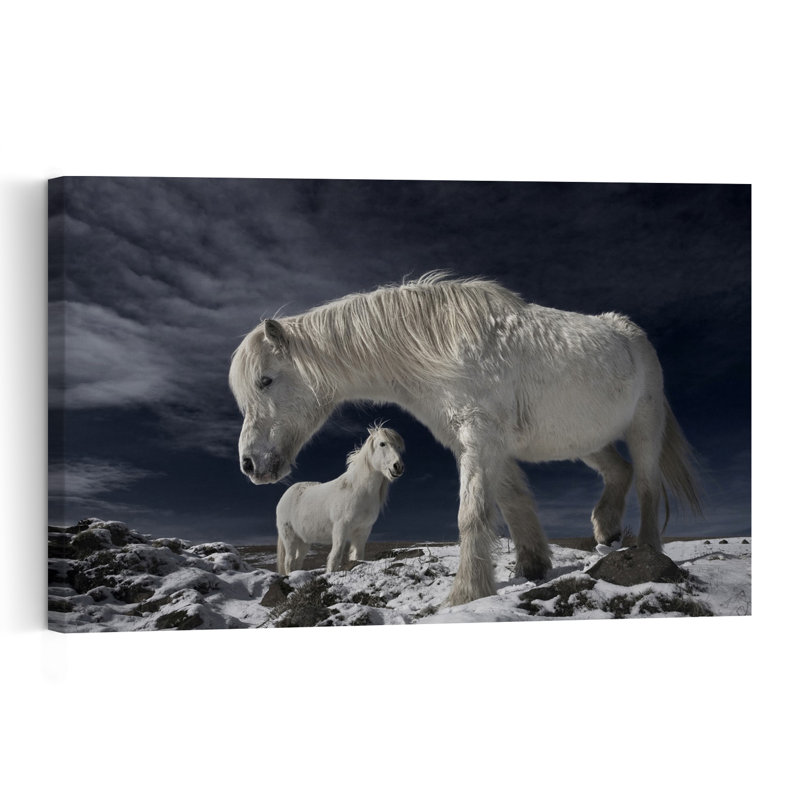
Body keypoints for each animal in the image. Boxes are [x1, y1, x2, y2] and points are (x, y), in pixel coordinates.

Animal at [274, 424, 405, 574]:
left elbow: (358, 556)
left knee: (297, 562)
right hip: (290, 538)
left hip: (304, 541)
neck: (358, 491)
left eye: (399, 447)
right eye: (382, 443)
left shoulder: (363, 532)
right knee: (289, 562)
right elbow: (335, 557)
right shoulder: (340, 529)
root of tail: (285, 496)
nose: (398, 467)